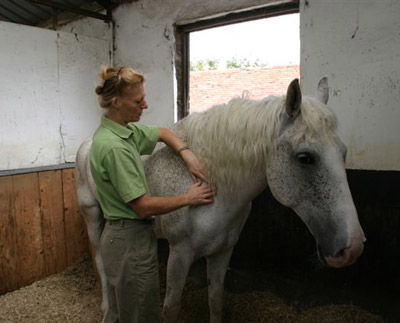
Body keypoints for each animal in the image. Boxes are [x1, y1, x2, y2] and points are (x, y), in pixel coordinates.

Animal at [76, 79, 366, 323]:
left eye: (343, 153)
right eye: (305, 158)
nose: (351, 248)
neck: (214, 185)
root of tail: (90, 142)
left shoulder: (222, 250)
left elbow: (216, 299)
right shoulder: (179, 253)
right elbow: (171, 308)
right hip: (93, 217)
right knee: (101, 262)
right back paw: (107, 309)